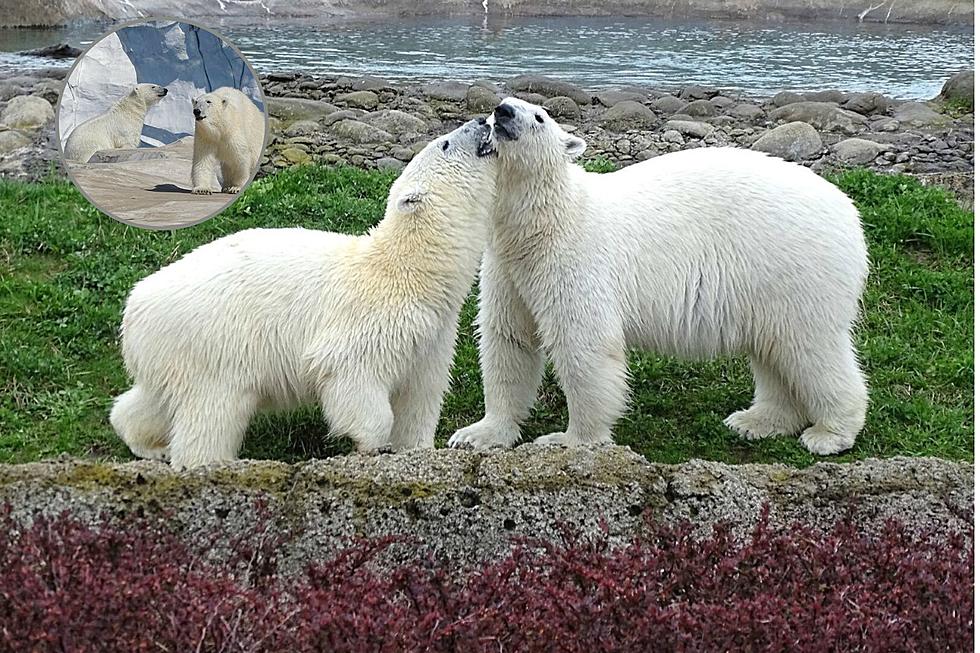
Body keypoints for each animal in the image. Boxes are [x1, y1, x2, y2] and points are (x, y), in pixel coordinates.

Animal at [111, 119, 498, 466]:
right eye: (445, 143)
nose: (484, 120)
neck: (409, 271)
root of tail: (135, 305)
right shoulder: (368, 322)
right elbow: (350, 377)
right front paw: (373, 444)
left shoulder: (431, 335)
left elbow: (420, 396)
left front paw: (415, 448)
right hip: (212, 343)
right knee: (212, 410)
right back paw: (204, 461)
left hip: (169, 349)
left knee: (154, 398)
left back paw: (149, 443)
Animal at [448, 97, 868, 456]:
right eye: (498, 108)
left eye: (539, 116)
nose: (502, 112)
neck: (545, 224)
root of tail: (849, 211)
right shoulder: (508, 268)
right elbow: (508, 340)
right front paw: (478, 434)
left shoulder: (575, 260)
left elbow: (585, 345)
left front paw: (569, 440)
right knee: (773, 350)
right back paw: (756, 420)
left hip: (795, 265)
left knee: (809, 346)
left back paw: (830, 434)